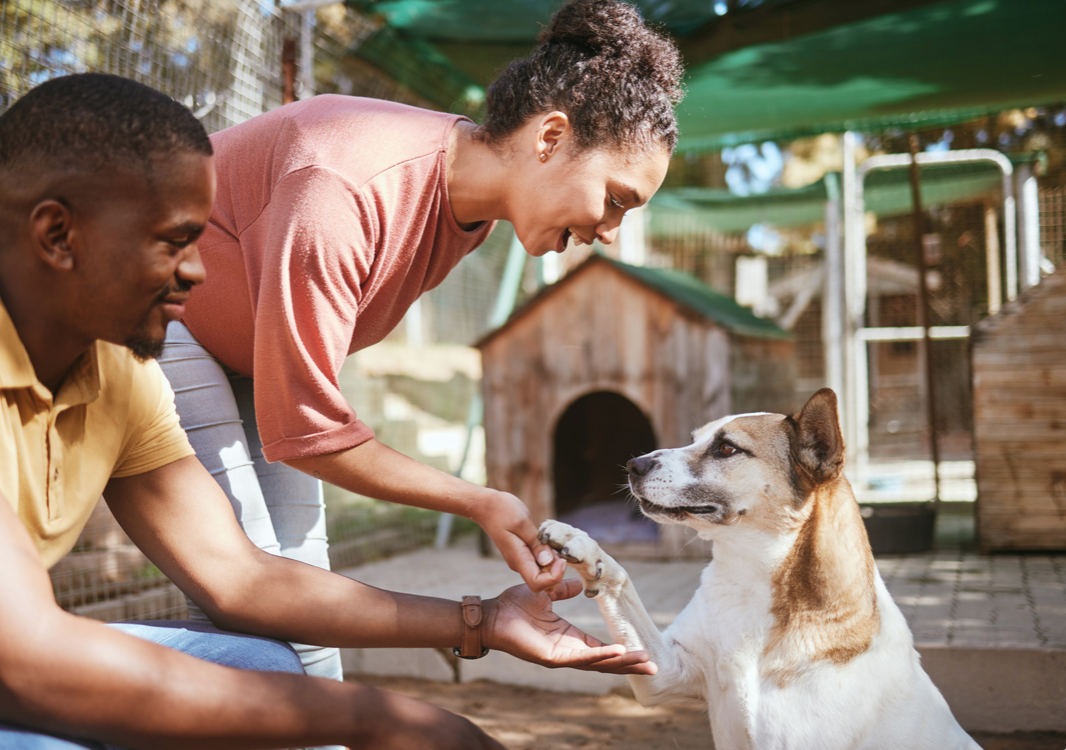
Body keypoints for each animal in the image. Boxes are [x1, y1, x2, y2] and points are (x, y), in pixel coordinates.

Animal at [541, 389, 980, 745]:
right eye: (694, 439)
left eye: (727, 449)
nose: (634, 464)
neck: (752, 578)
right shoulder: (665, 672)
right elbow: (620, 578)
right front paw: (581, 544)